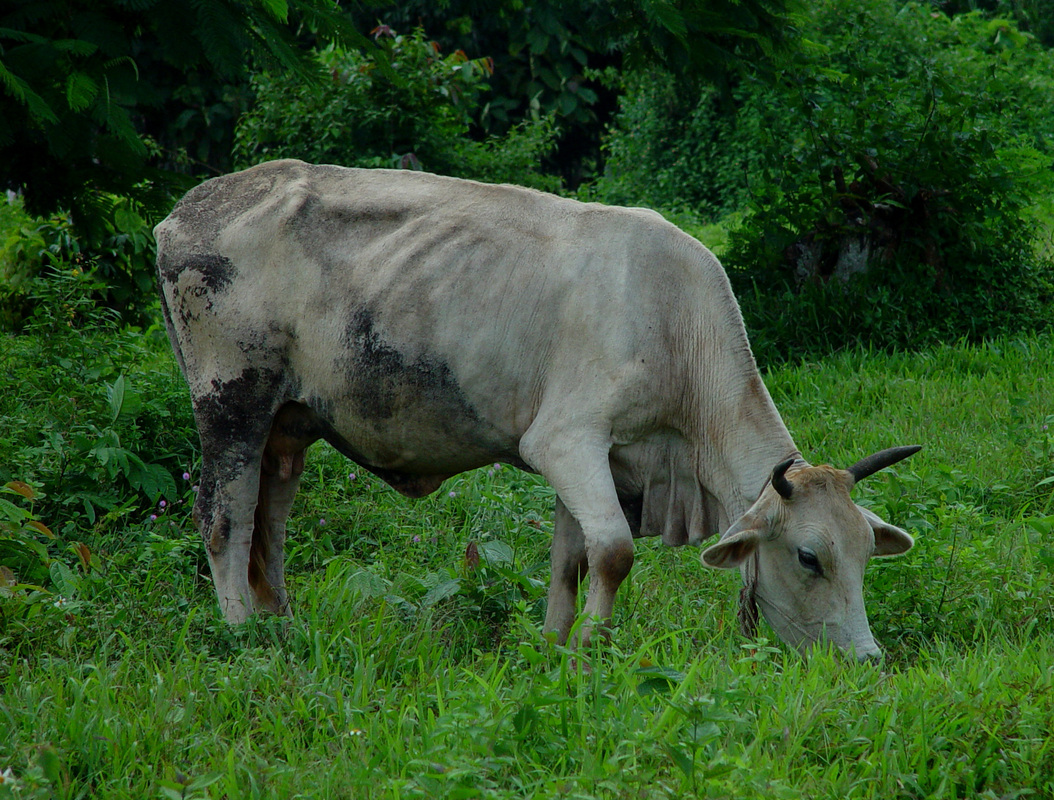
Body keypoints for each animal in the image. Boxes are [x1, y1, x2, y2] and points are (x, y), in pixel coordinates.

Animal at [155, 159, 923, 661]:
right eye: (808, 557)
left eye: (866, 552)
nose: (868, 661)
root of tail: (185, 211)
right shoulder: (564, 441)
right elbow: (612, 552)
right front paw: (590, 649)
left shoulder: (595, 461)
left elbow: (569, 561)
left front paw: (554, 647)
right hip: (231, 401)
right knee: (225, 520)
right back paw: (241, 637)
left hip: (289, 426)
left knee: (270, 525)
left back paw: (284, 626)